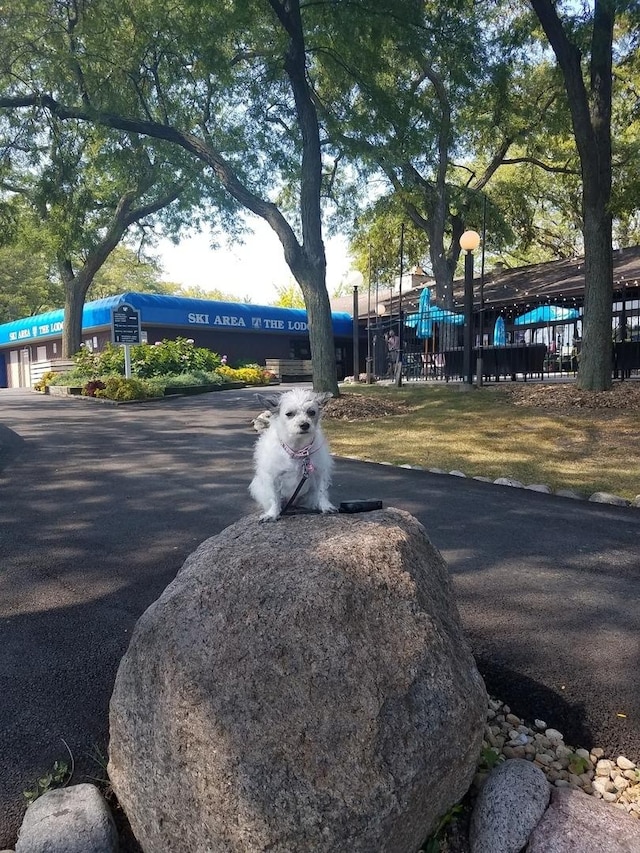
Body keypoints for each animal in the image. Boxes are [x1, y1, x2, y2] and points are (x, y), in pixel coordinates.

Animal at [249, 388, 338, 520]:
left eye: (311, 412)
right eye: (289, 414)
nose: (304, 424)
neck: (297, 450)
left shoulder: (319, 473)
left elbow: (322, 492)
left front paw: (326, 506)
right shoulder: (273, 477)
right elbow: (274, 498)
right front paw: (273, 513)